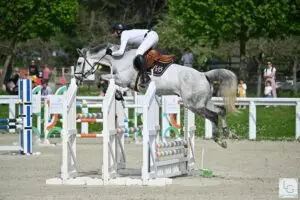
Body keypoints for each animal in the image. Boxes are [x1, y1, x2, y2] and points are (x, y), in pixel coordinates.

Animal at [75, 43, 239, 148]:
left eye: (78, 63)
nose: (76, 79)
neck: (119, 59)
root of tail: (204, 75)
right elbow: (107, 80)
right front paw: (118, 94)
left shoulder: (124, 80)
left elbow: (104, 78)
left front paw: (115, 93)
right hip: (203, 102)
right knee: (221, 111)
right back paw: (228, 135)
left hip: (193, 104)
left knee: (213, 115)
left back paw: (220, 139)